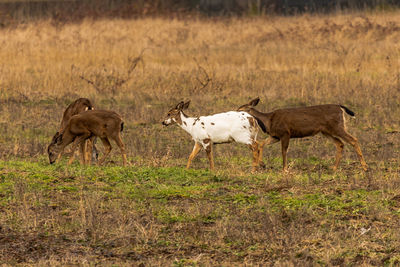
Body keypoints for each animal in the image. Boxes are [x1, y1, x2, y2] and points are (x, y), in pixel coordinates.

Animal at [238, 98, 368, 172]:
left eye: (241, 109)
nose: (235, 112)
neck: (268, 121)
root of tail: (340, 107)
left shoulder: (285, 133)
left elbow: (284, 151)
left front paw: (285, 169)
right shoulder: (275, 136)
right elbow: (261, 144)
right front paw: (262, 163)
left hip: (337, 127)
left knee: (353, 139)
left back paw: (365, 167)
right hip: (326, 131)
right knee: (340, 143)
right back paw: (334, 168)